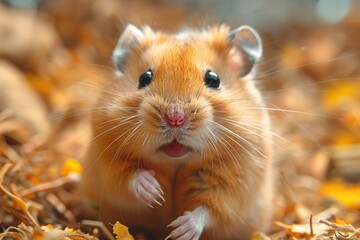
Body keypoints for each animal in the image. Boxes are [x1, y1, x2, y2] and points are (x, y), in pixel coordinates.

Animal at [81, 23, 272, 240]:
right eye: (144, 78)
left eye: (214, 79)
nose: (175, 118)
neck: (175, 162)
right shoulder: (107, 157)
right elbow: (128, 176)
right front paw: (154, 192)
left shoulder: (234, 180)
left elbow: (209, 209)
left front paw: (180, 229)